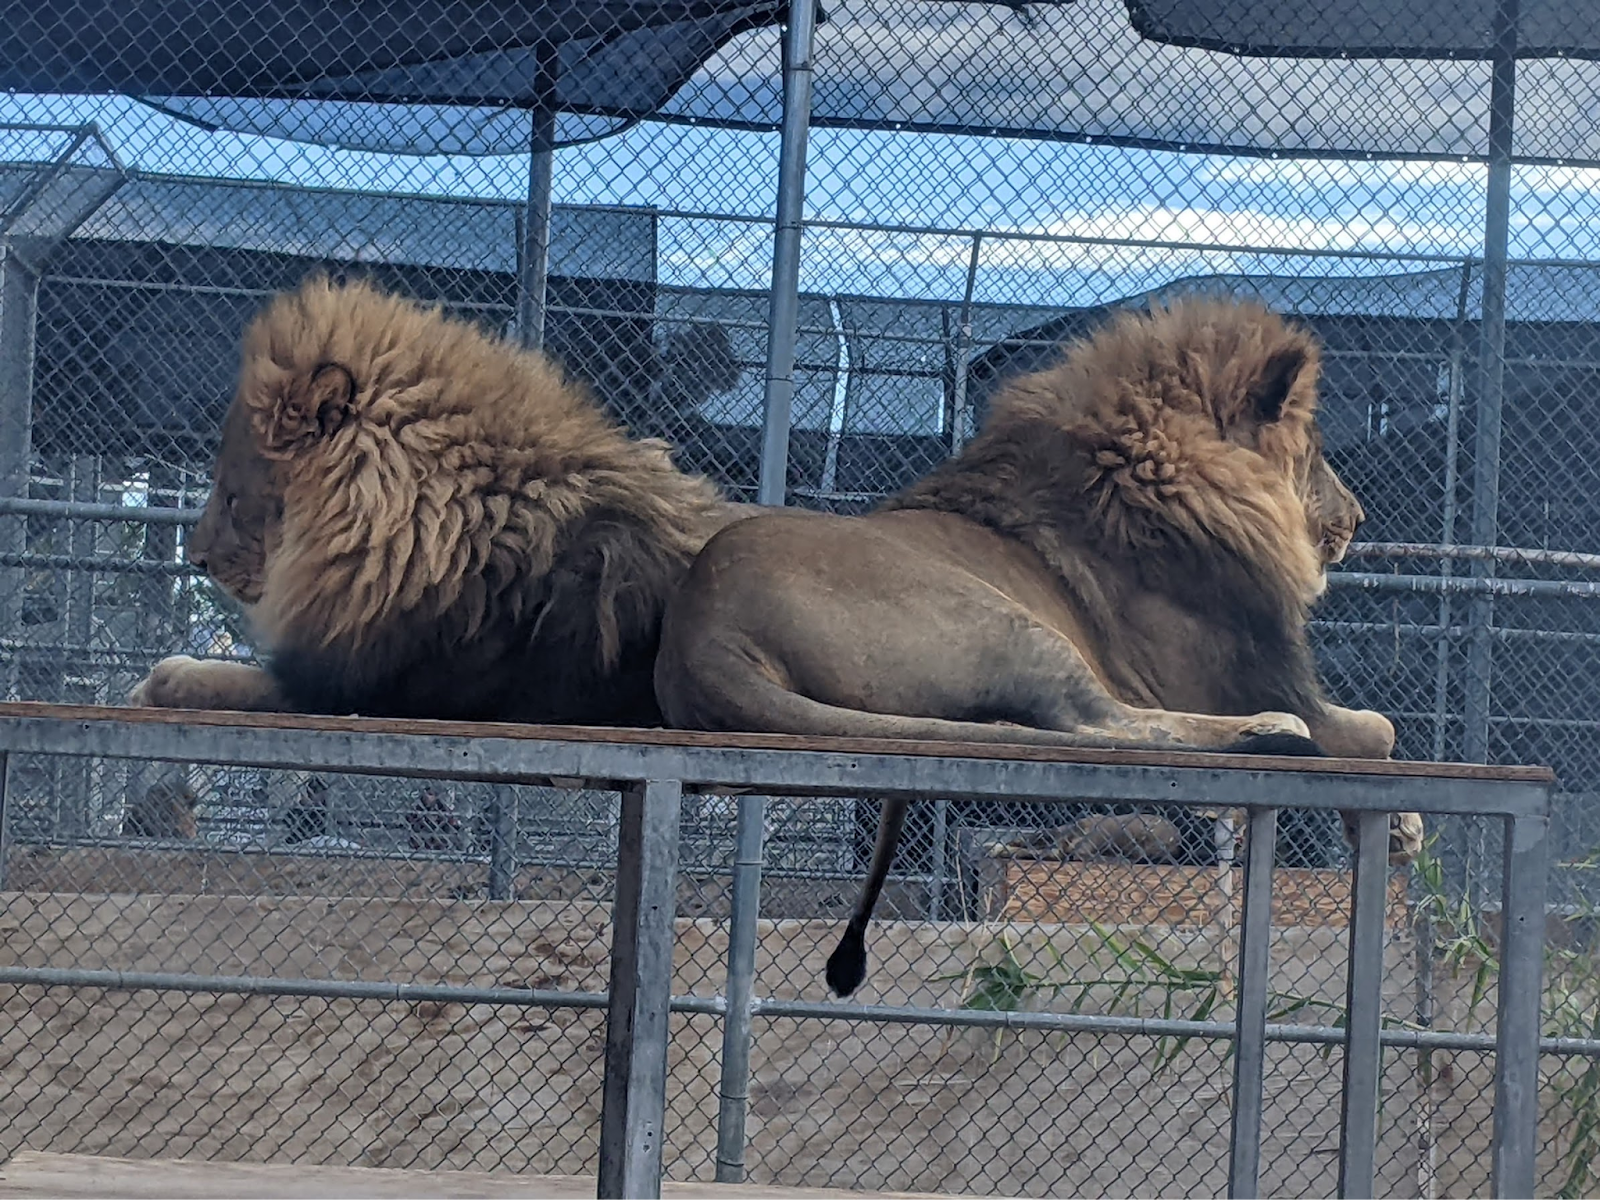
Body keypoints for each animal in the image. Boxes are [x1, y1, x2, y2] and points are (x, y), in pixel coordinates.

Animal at [652, 297, 1425, 996]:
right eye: (1316, 451)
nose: (1358, 517)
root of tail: (702, 631)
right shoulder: (1245, 677)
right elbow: (1375, 730)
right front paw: (1401, 826)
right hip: (1008, 622)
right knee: (1104, 726)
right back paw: (1266, 735)